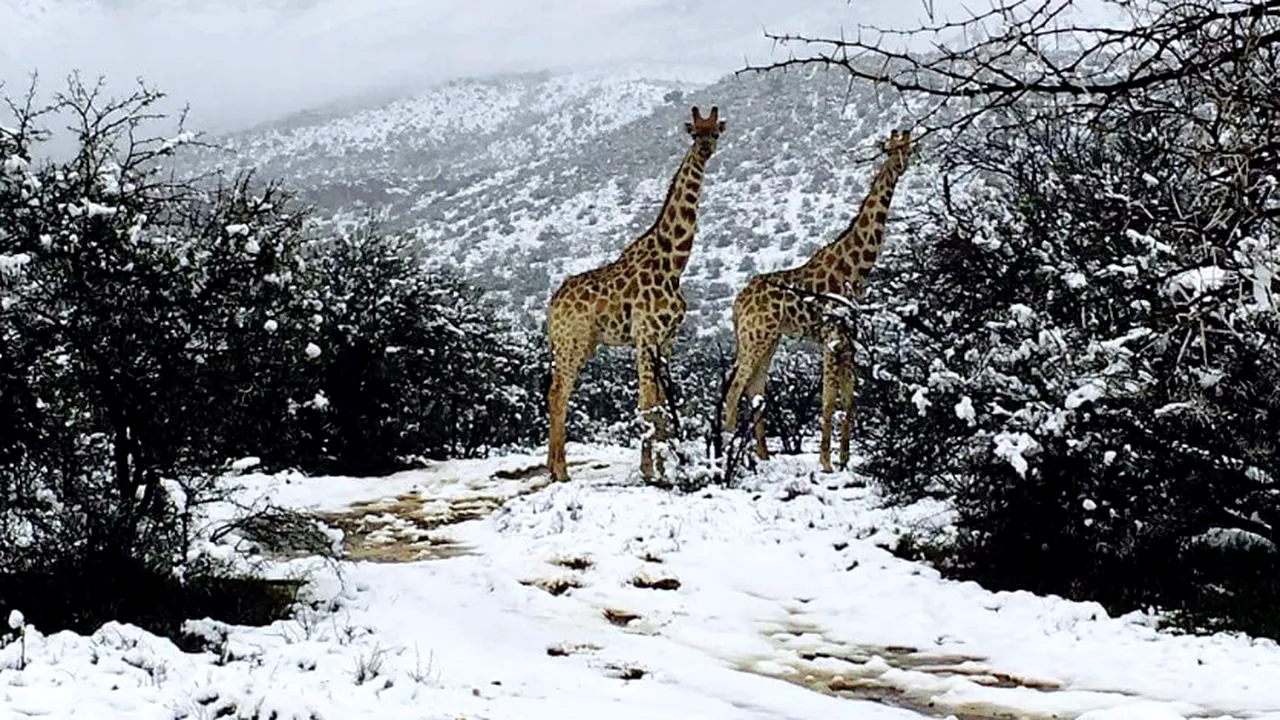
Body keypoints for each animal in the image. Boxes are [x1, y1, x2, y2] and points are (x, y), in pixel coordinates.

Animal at [546, 105, 727, 483]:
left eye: (716, 132)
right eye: (694, 133)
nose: (705, 150)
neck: (674, 263)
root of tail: (551, 305)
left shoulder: (666, 340)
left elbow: (660, 404)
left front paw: (664, 467)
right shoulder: (645, 336)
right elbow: (646, 403)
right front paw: (649, 471)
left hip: (579, 344)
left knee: (556, 393)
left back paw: (552, 467)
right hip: (572, 342)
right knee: (558, 394)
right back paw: (560, 472)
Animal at [721, 129, 914, 473]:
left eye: (909, 144)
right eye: (891, 148)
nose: (901, 164)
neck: (856, 269)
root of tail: (737, 304)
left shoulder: (848, 340)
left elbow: (850, 399)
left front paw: (844, 458)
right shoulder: (831, 337)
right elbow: (828, 400)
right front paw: (825, 462)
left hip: (768, 339)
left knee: (755, 389)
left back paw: (763, 456)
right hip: (755, 336)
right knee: (735, 390)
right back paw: (730, 455)